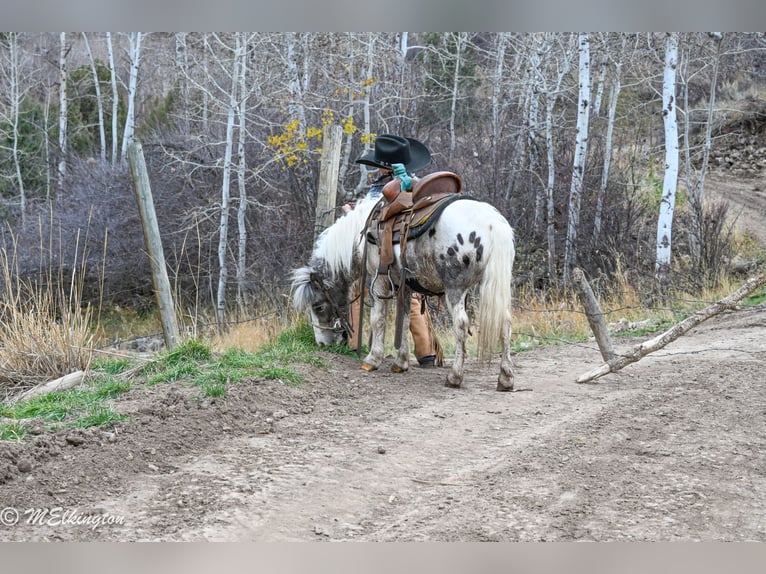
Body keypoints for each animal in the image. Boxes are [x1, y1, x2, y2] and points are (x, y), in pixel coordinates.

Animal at [291, 191, 516, 390]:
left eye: (318, 307)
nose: (322, 343)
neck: (361, 235)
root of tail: (491, 223)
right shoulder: (406, 287)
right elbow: (406, 320)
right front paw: (401, 363)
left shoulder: (378, 282)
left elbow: (378, 319)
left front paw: (372, 360)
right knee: (505, 323)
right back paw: (505, 378)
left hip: (456, 288)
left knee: (461, 325)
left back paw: (455, 377)